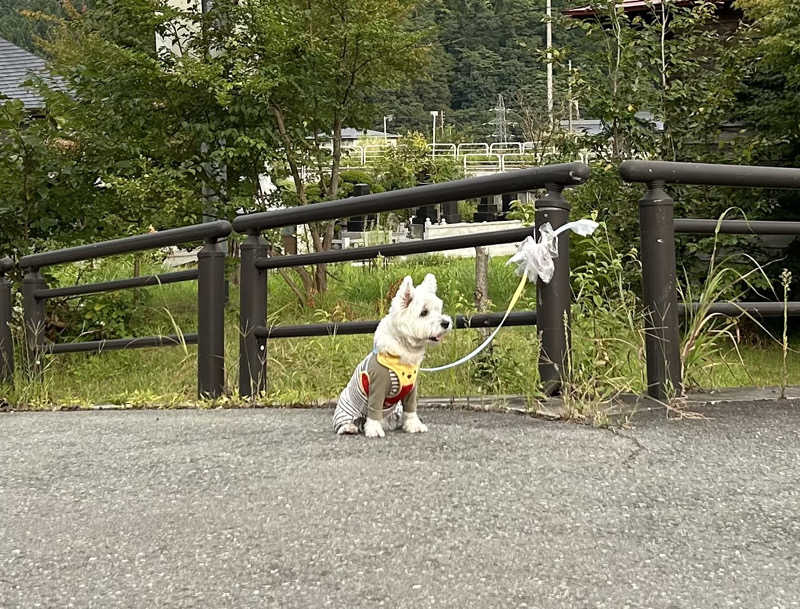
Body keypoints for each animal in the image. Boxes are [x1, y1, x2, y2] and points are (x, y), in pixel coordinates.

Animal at [332, 274, 450, 436]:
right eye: (424, 312)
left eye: (438, 309)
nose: (446, 323)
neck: (403, 354)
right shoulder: (377, 387)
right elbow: (374, 409)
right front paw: (374, 430)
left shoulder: (411, 389)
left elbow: (411, 409)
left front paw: (414, 425)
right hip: (346, 408)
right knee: (344, 422)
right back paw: (349, 427)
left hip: (396, 409)